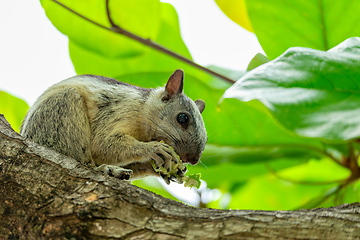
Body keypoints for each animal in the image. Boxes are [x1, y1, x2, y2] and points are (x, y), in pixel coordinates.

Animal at [20, 69, 205, 184]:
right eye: (183, 118)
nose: (193, 159)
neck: (143, 108)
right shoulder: (120, 111)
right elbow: (102, 144)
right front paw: (153, 149)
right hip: (61, 112)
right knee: (82, 161)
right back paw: (106, 169)